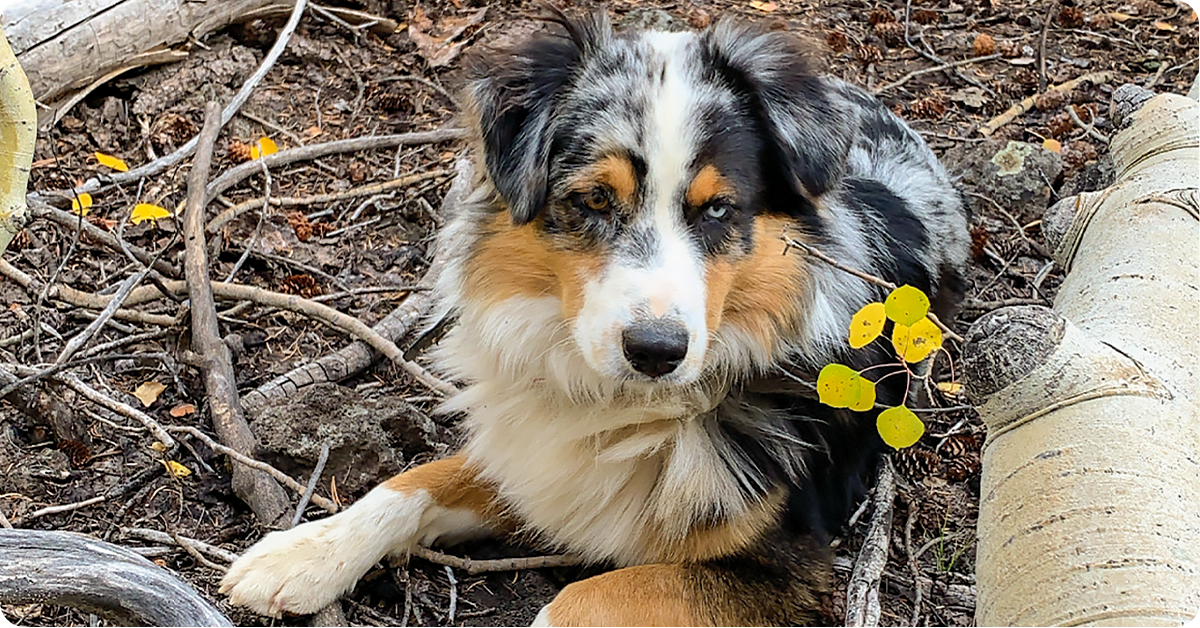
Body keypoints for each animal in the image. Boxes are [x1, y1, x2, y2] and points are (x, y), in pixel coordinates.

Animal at [220, 7, 969, 624]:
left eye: (718, 208)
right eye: (595, 200)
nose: (656, 350)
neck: (626, 407)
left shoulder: (786, 565)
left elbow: (576, 602)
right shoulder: (530, 460)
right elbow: (409, 483)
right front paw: (301, 553)